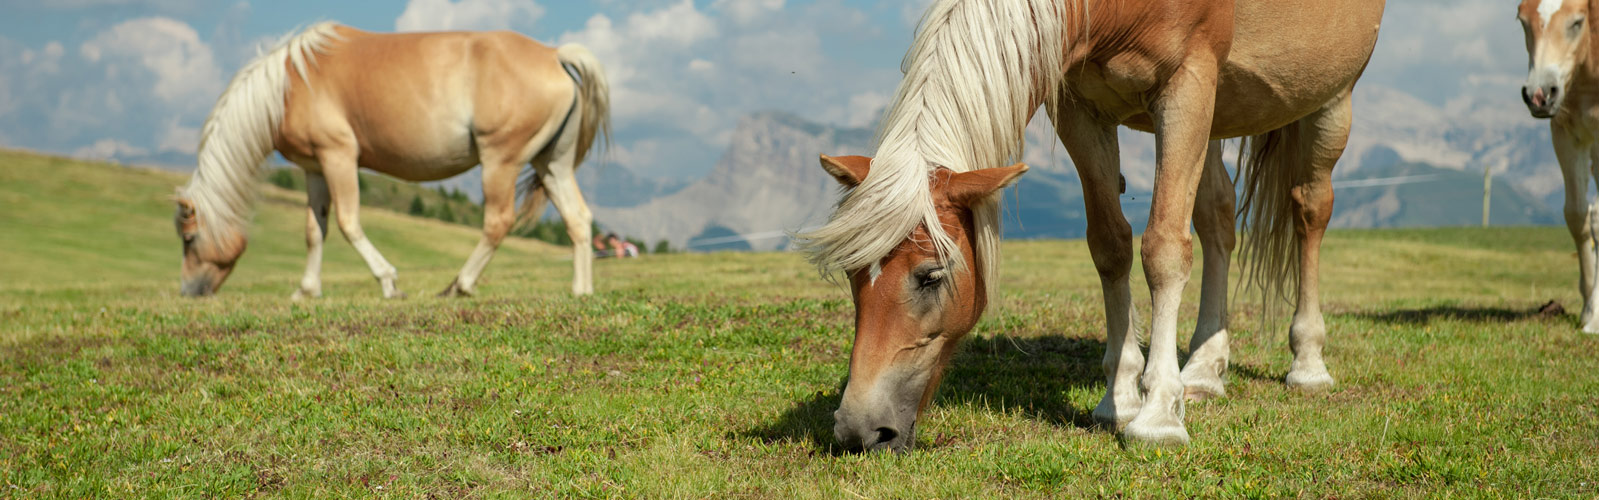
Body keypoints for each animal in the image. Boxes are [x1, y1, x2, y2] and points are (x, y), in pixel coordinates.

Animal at [168, 22, 604, 295]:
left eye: (189, 238)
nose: (189, 291)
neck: (287, 87)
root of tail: (554, 55)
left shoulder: (338, 156)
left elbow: (348, 223)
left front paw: (388, 282)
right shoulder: (314, 168)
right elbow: (315, 230)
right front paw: (307, 290)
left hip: (501, 161)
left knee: (498, 222)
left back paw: (460, 285)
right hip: (552, 164)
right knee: (577, 219)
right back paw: (580, 290)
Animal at [805, 0, 1381, 450]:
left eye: (930, 276)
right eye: (854, 277)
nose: (857, 430)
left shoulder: (1188, 83)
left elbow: (1163, 248)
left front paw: (1157, 415)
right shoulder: (1079, 107)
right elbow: (1111, 245)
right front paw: (1120, 397)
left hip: (1330, 96)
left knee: (1310, 211)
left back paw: (1307, 363)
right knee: (1216, 217)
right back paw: (1202, 368)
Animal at [1515, 0, 1599, 335]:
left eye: (1577, 22)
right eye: (1522, 21)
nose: (1539, 94)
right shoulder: (1566, 132)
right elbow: (1577, 215)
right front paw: (1589, 309)